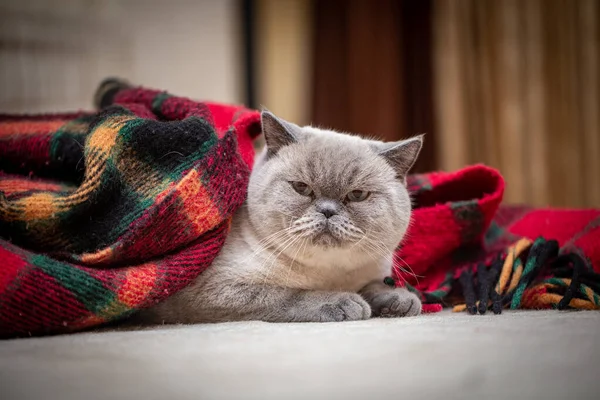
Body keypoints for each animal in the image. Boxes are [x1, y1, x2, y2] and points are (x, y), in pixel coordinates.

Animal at [132, 111, 422, 324]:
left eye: (358, 195)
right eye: (302, 188)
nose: (328, 210)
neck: (329, 276)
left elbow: (375, 287)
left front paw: (400, 300)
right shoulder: (214, 290)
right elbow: (288, 294)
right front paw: (345, 302)